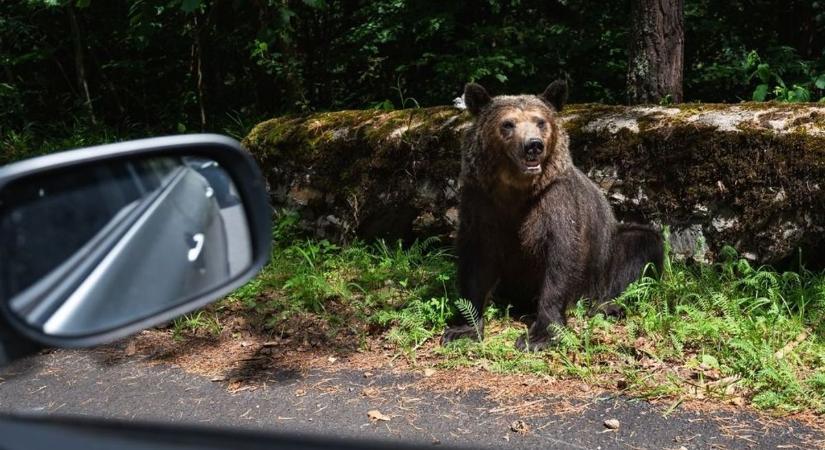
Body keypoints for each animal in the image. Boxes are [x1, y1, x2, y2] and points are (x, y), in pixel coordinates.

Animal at [438, 81, 664, 352]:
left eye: (540, 121)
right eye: (508, 123)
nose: (533, 145)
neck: (516, 189)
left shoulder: (555, 199)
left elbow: (560, 258)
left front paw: (539, 336)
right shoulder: (481, 201)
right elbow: (476, 259)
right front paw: (463, 328)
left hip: (604, 258)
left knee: (640, 243)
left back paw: (607, 306)